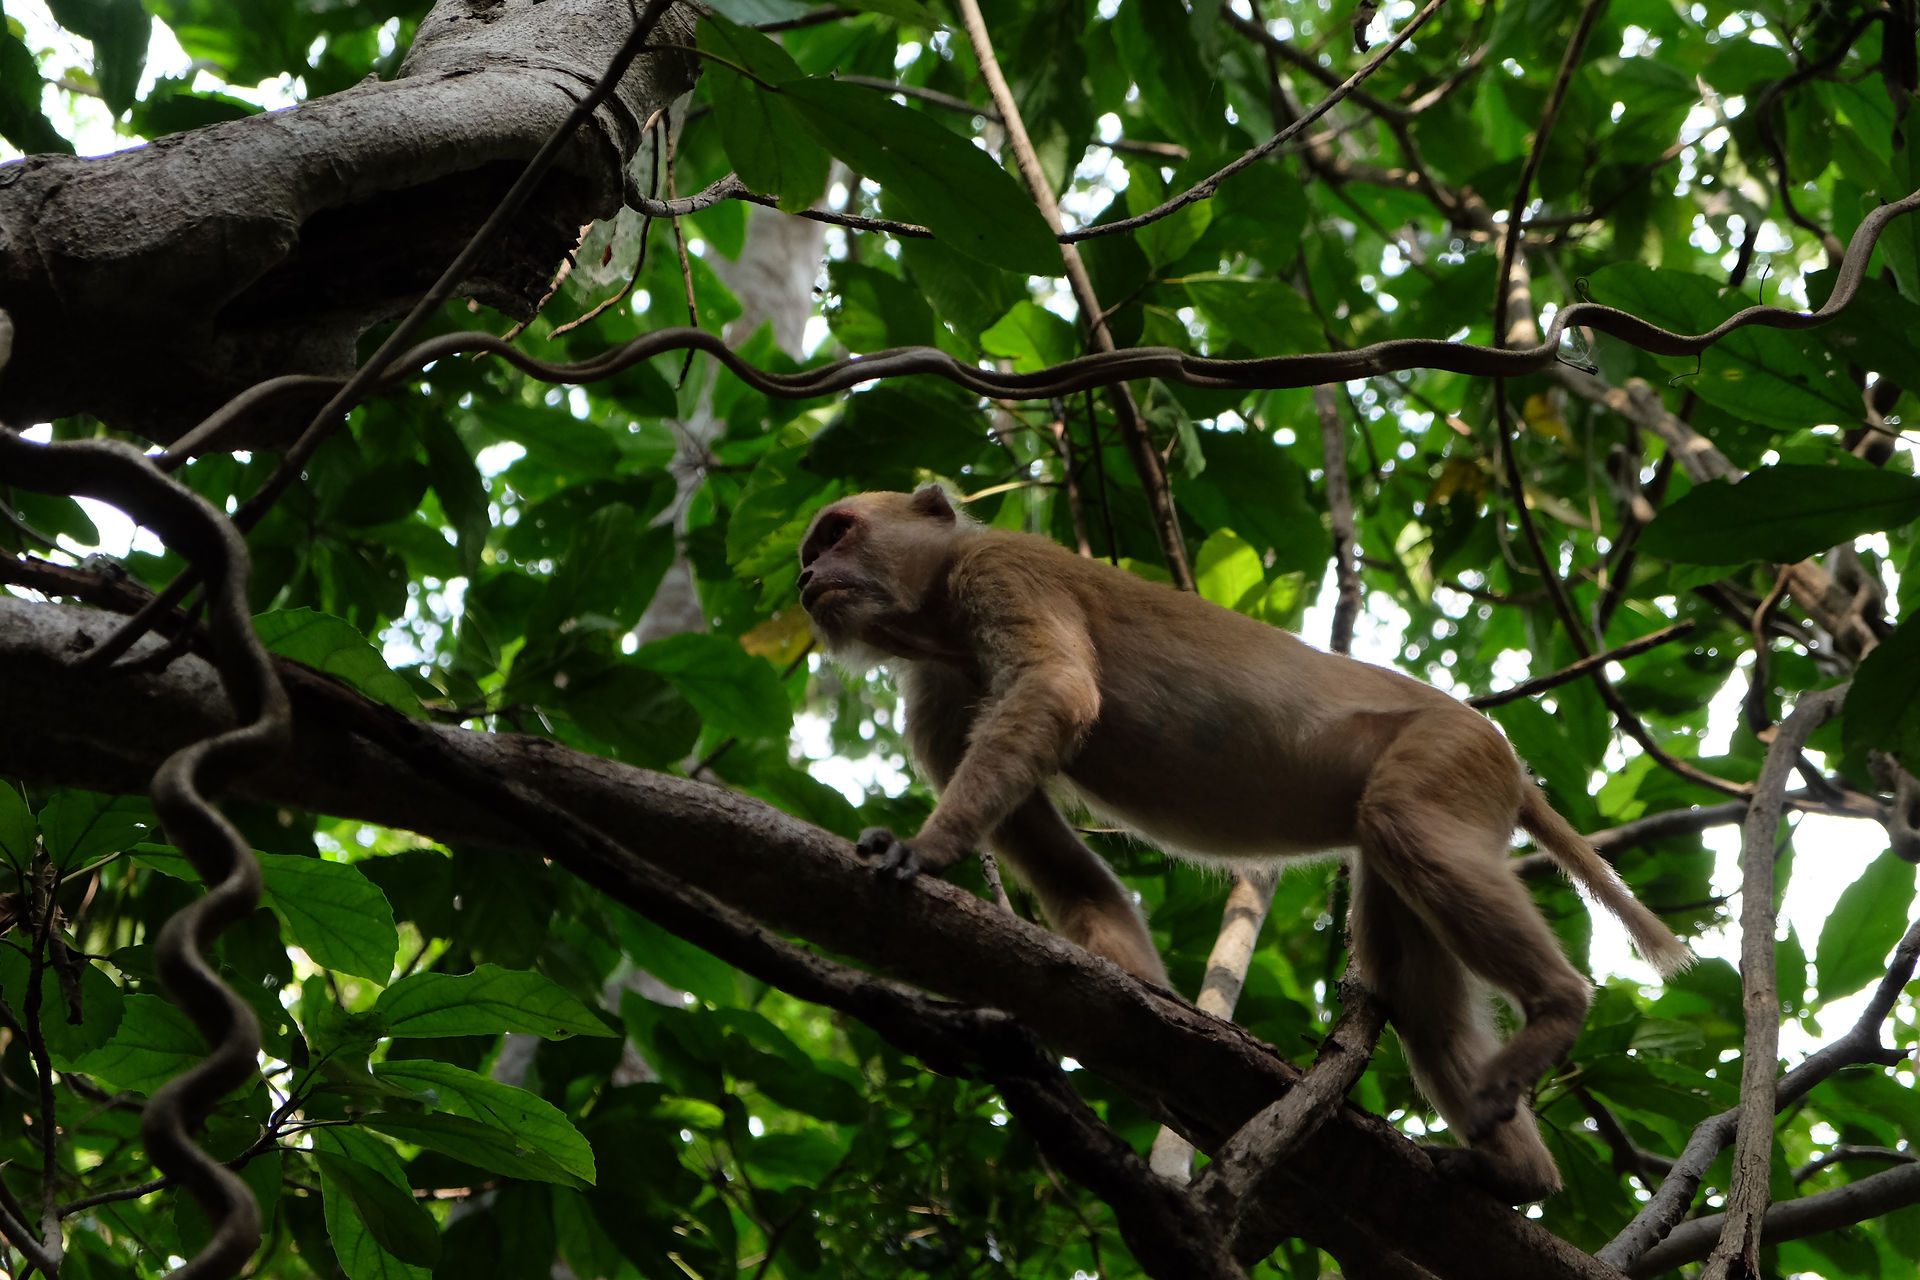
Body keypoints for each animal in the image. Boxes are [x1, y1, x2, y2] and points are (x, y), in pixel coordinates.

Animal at [796, 484, 1693, 1202]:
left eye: (836, 534)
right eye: (812, 550)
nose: (805, 580)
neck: (940, 624)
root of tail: (1498, 744)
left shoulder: (1004, 572)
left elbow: (1058, 692)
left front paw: (926, 849)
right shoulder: (938, 690)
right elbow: (1056, 857)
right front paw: (1142, 1014)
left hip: (1446, 754)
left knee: (1404, 827)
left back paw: (1558, 1007)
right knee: (1416, 986)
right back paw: (1518, 1174)